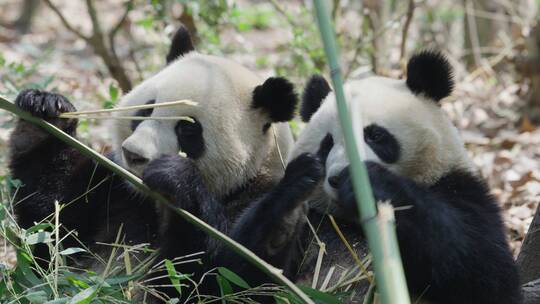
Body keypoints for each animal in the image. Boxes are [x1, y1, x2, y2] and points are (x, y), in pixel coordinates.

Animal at [9, 26, 320, 302]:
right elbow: (53, 231)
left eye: (187, 129)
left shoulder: (251, 196)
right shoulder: (114, 189)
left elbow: (221, 280)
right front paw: (45, 111)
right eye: (146, 109)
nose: (134, 154)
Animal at [292, 51, 524, 302]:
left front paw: (372, 184)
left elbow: (487, 272)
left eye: (375, 135)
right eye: (326, 144)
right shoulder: (313, 221)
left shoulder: (459, 187)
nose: (337, 178)